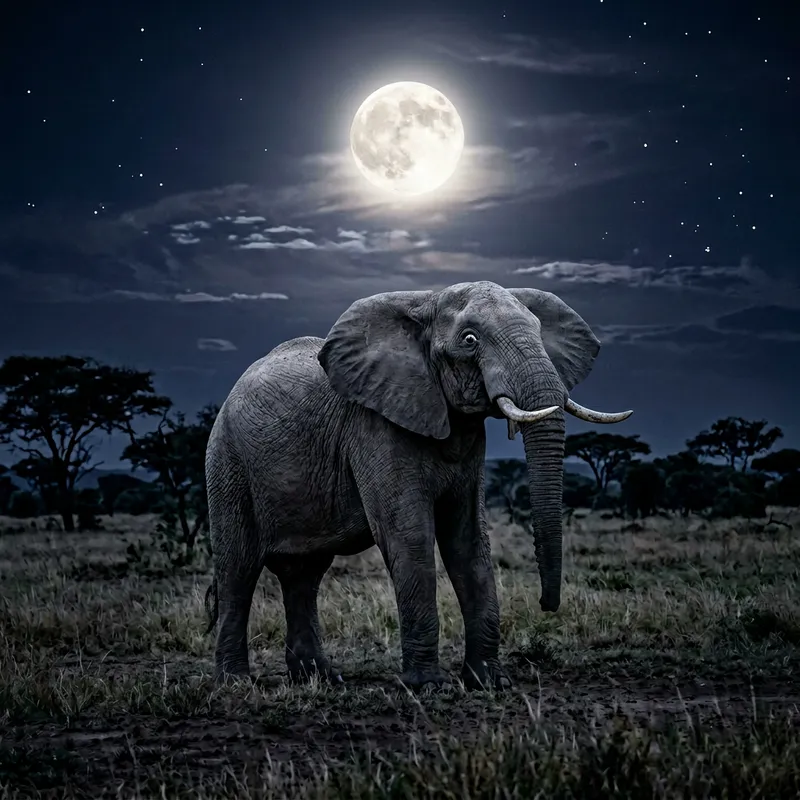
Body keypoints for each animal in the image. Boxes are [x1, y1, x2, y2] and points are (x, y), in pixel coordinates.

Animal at [204, 280, 631, 689]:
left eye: (540, 331)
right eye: (470, 340)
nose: (546, 604)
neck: (427, 302)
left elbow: (468, 540)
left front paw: (490, 682)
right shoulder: (373, 425)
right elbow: (409, 535)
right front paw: (428, 687)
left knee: (303, 575)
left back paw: (320, 679)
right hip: (227, 461)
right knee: (238, 568)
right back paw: (236, 682)